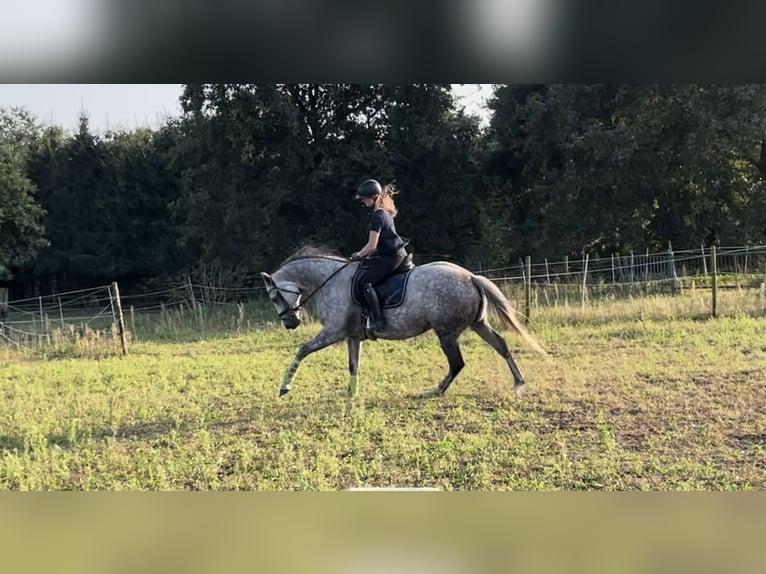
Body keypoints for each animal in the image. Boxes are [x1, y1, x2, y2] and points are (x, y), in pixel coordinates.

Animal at [260, 245, 548, 398]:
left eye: (274, 296)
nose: (290, 323)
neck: (331, 282)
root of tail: (470, 277)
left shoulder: (333, 332)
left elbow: (302, 351)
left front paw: (284, 387)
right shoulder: (352, 336)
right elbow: (353, 365)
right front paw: (351, 393)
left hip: (446, 333)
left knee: (457, 363)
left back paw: (436, 390)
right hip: (477, 324)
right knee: (500, 345)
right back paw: (518, 383)